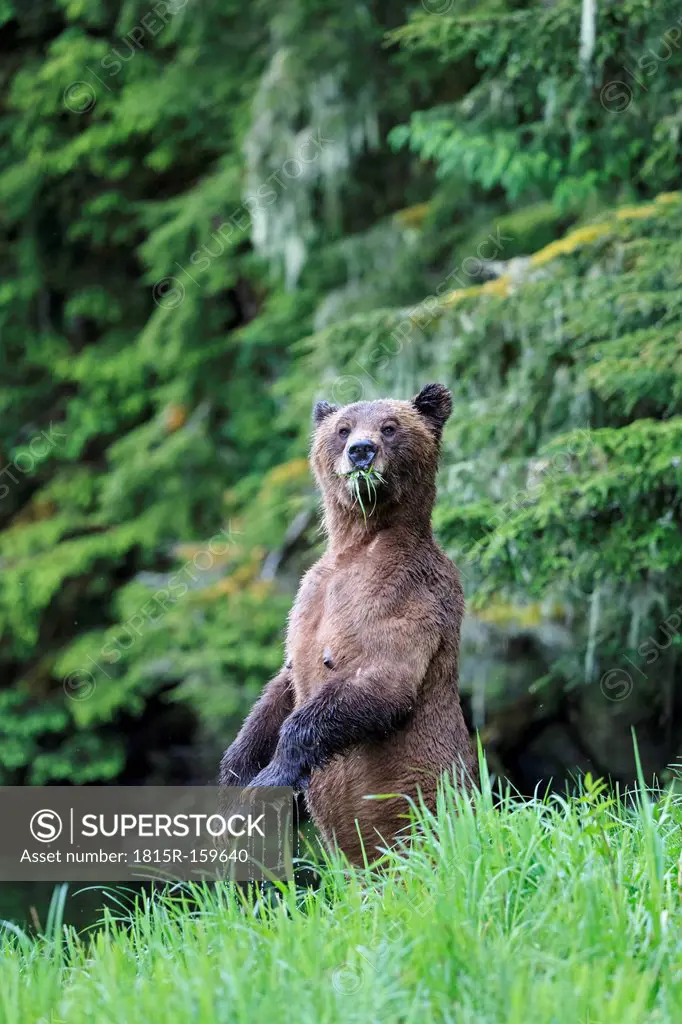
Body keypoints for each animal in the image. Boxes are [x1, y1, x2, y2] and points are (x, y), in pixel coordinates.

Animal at [220, 385, 475, 864]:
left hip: (424, 808)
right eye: (343, 428)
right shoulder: (309, 596)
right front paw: (235, 774)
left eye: (389, 427)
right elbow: (282, 684)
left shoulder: (404, 593)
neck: (361, 544)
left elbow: (381, 678)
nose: (361, 450)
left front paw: (273, 774)